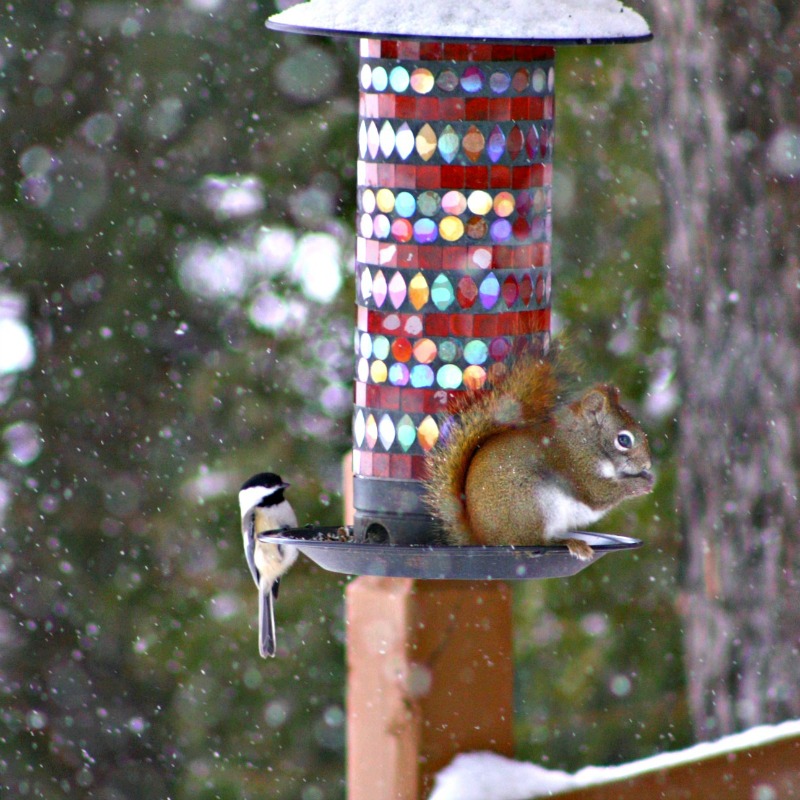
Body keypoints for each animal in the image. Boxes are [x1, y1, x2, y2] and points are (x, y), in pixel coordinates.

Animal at [422, 346, 652, 560]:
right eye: (624, 440)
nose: (647, 465)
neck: (586, 441)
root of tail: (483, 539)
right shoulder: (574, 464)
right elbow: (597, 492)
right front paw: (640, 484)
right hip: (531, 501)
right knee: (533, 541)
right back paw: (569, 543)